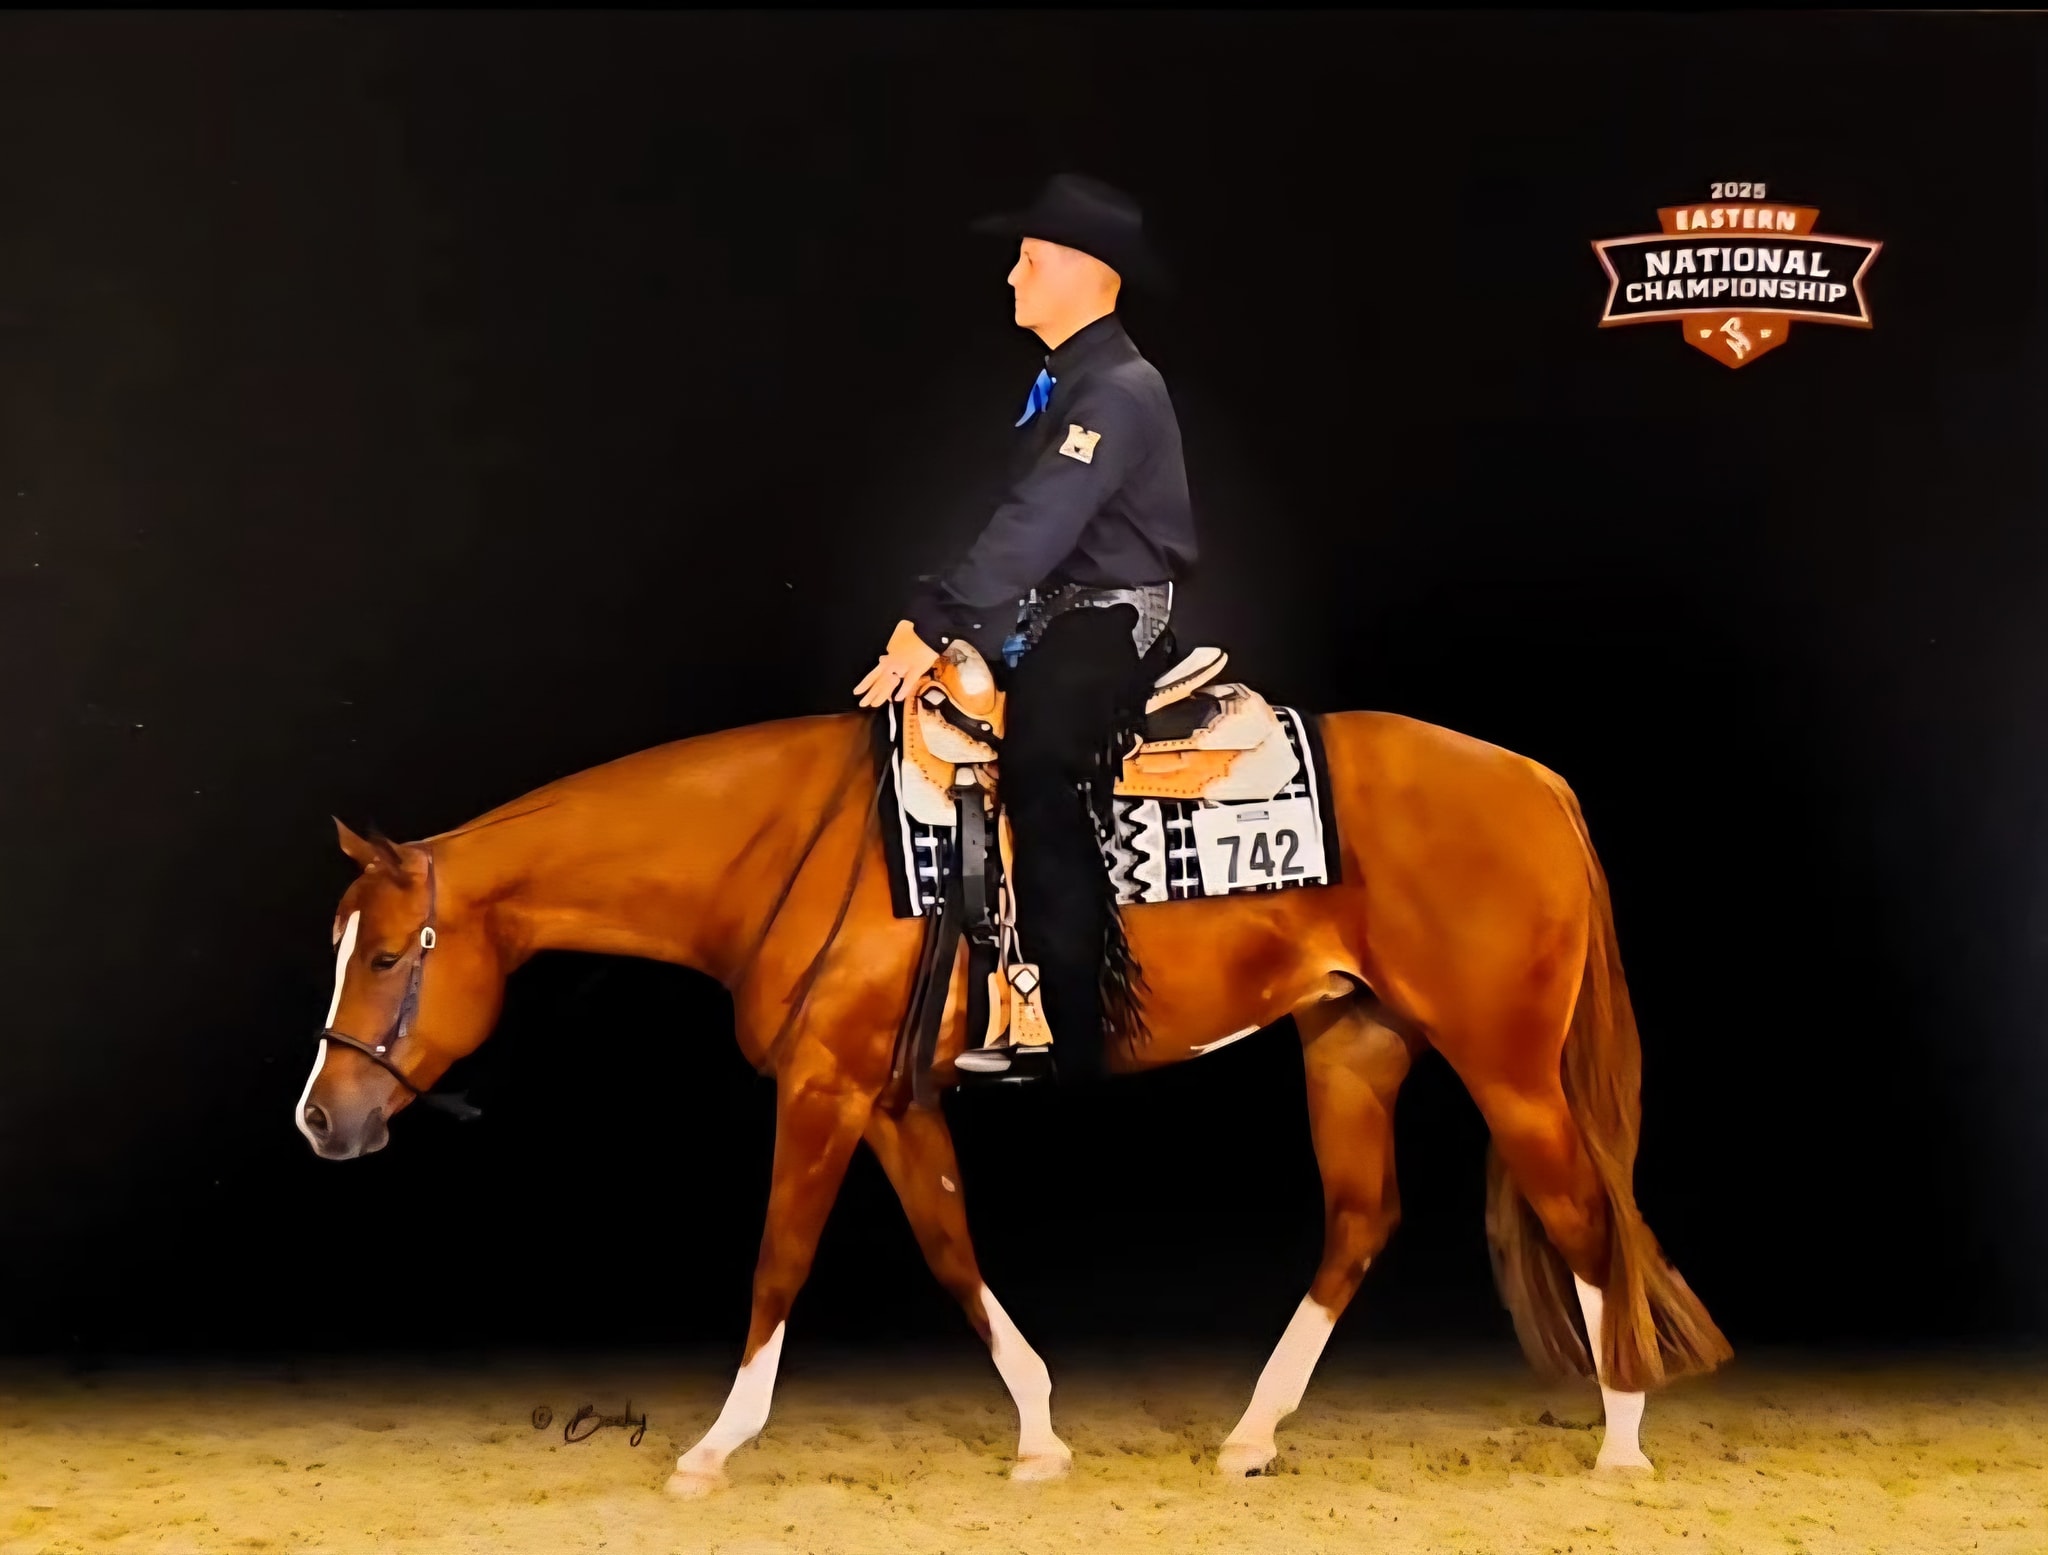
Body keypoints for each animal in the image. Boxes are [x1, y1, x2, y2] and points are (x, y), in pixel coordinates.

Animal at [295, 706, 1730, 1493]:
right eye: (343, 945)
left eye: (388, 953)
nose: (319, 1117)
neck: (784, 837)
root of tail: (1534, 780)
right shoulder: (888, 1096)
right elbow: (948, 1246)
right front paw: (1040, 1431)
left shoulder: (823, 1089)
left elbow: (779, 1259)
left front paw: (712, 1446)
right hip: (1351, 1040)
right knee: (1362, 1221)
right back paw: (1250, 1433)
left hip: (1506, 1063)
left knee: (1583, 1214)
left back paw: (1621, 1437)